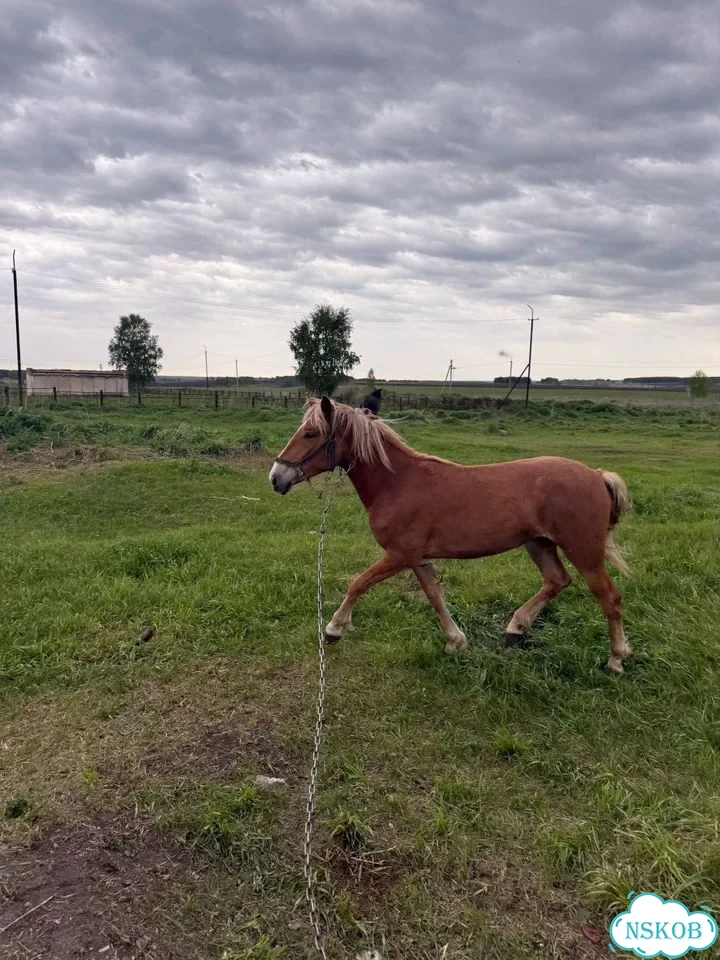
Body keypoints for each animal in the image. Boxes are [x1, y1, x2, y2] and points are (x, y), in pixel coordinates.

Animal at [270, 397, 633, 674]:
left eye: (310, 434)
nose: (276, 478)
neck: (398, 484)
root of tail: (597, 475)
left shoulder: (398, 555)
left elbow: (358, 583)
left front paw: (333, 630)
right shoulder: (416, 558)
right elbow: (435, 596)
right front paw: (456, 641)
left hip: (583, 551)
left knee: (609, 598)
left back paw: (616, 659)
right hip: (539, 544)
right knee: (558, 581)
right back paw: (515, 628)